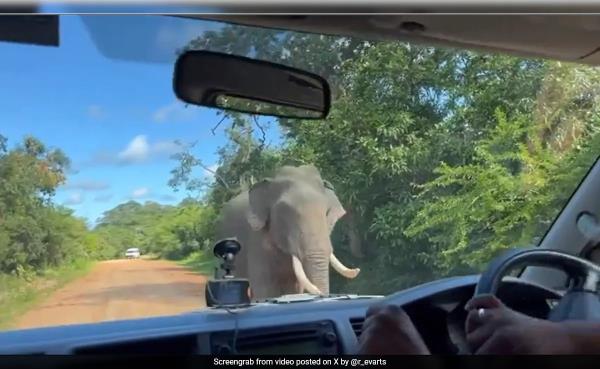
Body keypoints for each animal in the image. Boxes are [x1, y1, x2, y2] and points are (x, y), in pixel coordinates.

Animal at [217, 164, 360, 300]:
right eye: (285, 213)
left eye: (326, 212)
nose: (358, 269)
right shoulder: (257, 239)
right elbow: (265, 289)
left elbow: (295, 288)